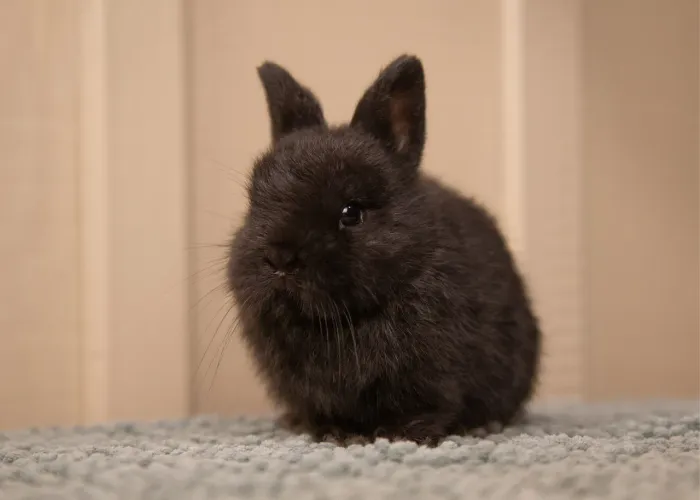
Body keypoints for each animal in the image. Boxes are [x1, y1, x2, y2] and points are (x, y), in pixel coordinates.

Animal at [227, 54, 541, 446]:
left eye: (352, 213)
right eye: (255, 200)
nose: (279, 257)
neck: (336, 321)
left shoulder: (433, 375)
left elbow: (426, 407)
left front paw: (399, 434)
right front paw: (326, 431)